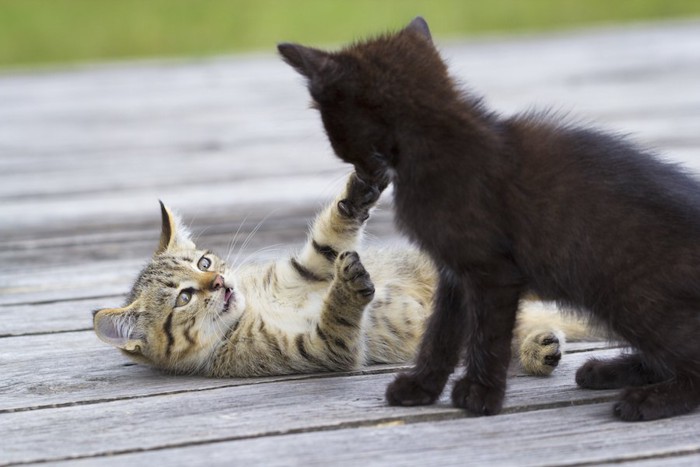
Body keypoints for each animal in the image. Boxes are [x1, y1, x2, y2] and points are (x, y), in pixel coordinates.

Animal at [91, 174, 584, 378]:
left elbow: (331, 235)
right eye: (183, 299)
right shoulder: (319, 349)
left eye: (205, 265)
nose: (222, 285)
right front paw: (348, 289)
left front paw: (358, 192)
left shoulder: (305, 269)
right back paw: (540, 349)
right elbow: (335, 320)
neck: (254, 305)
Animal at [278, 16, 700, 422]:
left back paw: (649, 399)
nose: (365, 177)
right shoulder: (454, 274)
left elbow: (488, 336)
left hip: (632, 295)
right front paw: (421, 387)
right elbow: (441, 334)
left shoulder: (493, 272)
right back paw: (609, 371)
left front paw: (479, 396)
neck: (439, 142)